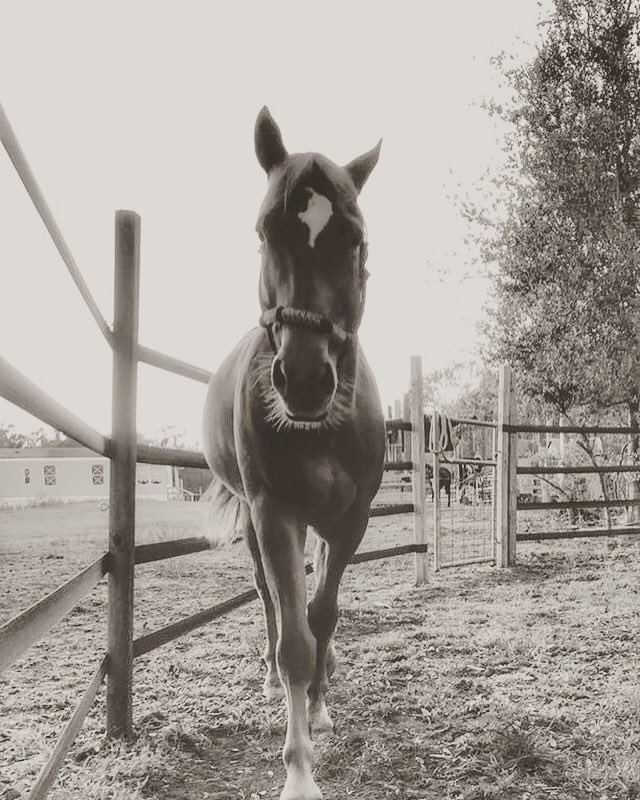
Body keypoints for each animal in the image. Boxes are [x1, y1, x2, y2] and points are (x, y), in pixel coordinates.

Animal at [202, 107, 385, 800]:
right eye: (264, 231)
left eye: (356, 240)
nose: (304, 381)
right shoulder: (274, 512)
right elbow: (294, 642)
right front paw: (300, 772)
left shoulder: (350, 520)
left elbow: (323, 616)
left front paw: (322, 704)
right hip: (261, 525)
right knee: (268, 602)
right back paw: (271, 677)